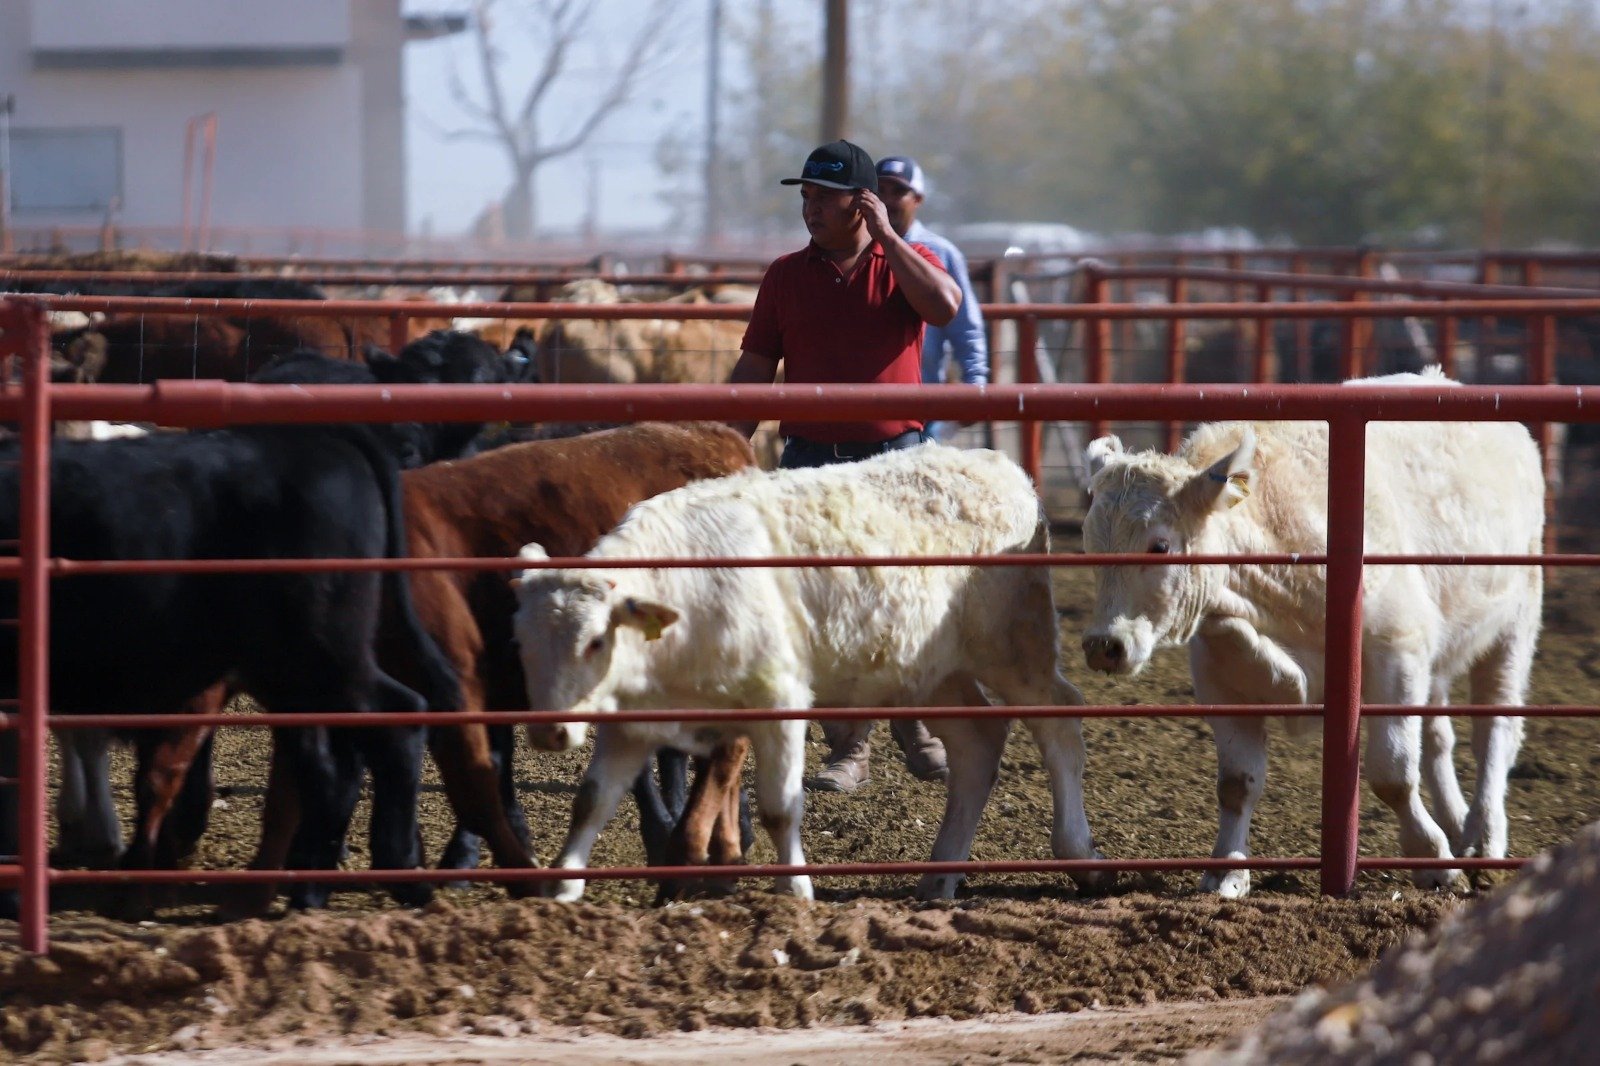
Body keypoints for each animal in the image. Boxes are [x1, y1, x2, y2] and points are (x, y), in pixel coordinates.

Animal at [510, 444, 1103, 903]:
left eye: (595, 640)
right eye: (522, 643)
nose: (549, 732)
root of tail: (1002, 468)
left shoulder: (778, 700)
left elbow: (780, 807)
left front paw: (795, 890)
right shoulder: (631, 725)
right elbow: (591, 801)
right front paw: (562, 888)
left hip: (1015, 649)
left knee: (1058, 722)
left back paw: (1079, 856)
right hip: (935, 673)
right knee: (978, 743)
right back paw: (940, 876)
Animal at [1079, 368, 1543, 898]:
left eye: (1160, 546)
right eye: (1089, 546)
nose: (1104, 645)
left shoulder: (1396, 655)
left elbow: (1393, 773)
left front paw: (1431, 859)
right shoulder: (1224, 680)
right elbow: (1236, 784)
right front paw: (1226, 871)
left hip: (1516, 623)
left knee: (1495, 731)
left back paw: (1485, 834)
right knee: (1440, 736)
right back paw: (1460, 824)